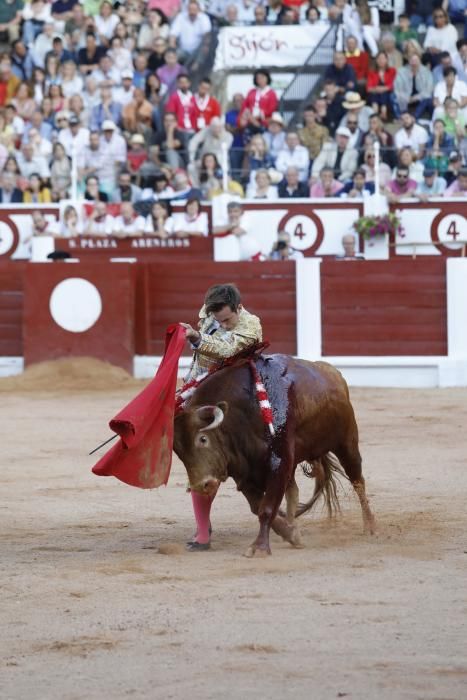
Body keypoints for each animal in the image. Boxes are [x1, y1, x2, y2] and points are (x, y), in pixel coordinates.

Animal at [174, 356, 374, 556]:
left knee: (357, 480)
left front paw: (259, 548)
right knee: (293, 492)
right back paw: (292, 524)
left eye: (203, 439)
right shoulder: (244, 473)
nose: (201, 486)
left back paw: (369, 526)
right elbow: (258, 507)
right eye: (179, 452)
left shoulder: (279, 463)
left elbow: (267, 508)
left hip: (347, 443)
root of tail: (332, 372)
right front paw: (291, 534)